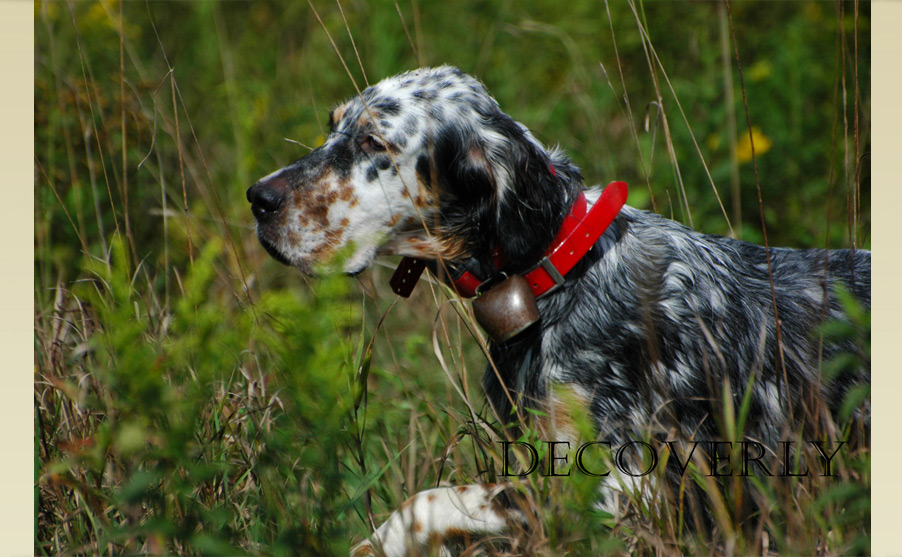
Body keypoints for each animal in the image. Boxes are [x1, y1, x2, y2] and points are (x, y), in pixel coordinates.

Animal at [245, 67, 868, 552]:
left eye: (374, 142)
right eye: (333, 125)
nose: (258, 198)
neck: (557, 270)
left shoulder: (628, 486)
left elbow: (430, 499)